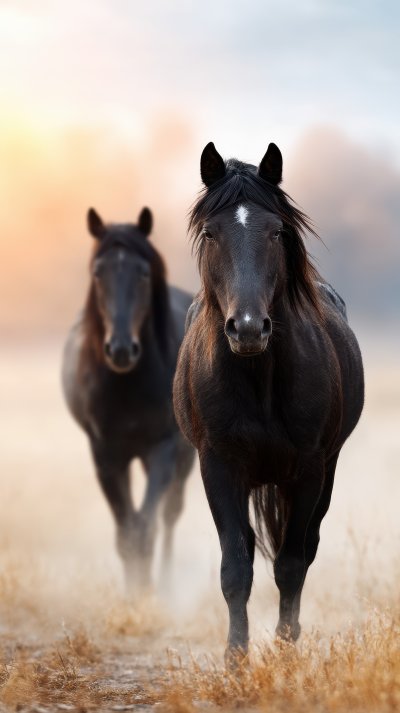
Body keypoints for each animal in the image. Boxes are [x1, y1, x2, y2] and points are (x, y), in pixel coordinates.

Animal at [62, 206, 195, 591]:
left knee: (170, 515)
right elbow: (127, 532)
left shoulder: (164, 448)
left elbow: (146, 527)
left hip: (184, 455)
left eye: (144, 273)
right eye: (97, 273)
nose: (121, 350)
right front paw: (133, 592)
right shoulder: (106, 454)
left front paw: (148, 593)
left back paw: (165, 582)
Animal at [173, 142, 364, 661]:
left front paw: (284, 649)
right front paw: (236, 659)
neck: (258, 379)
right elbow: (236, 569)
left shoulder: (310, 470)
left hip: (325, 471)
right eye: (211, 233)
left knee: (303, 548)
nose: (248, 328)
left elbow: (291, 564)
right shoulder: (218, 468)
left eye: (277, 231)